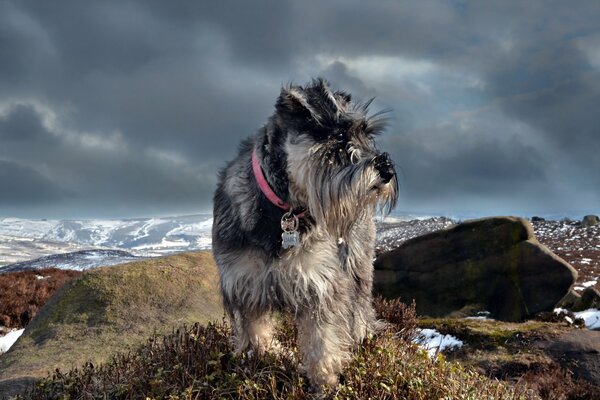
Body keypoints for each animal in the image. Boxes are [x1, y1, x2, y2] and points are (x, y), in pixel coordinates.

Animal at [212, 78, 398, 388]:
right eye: (338, 135)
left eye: (367, 134)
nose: (387, 169)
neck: (282, 211)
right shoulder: (244, 285)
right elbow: (255, 333)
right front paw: (262, 360)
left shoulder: (320, 285)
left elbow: (322, 343)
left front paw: (325, 384)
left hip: (356, 264)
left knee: (360, 307)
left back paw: (362, 337)